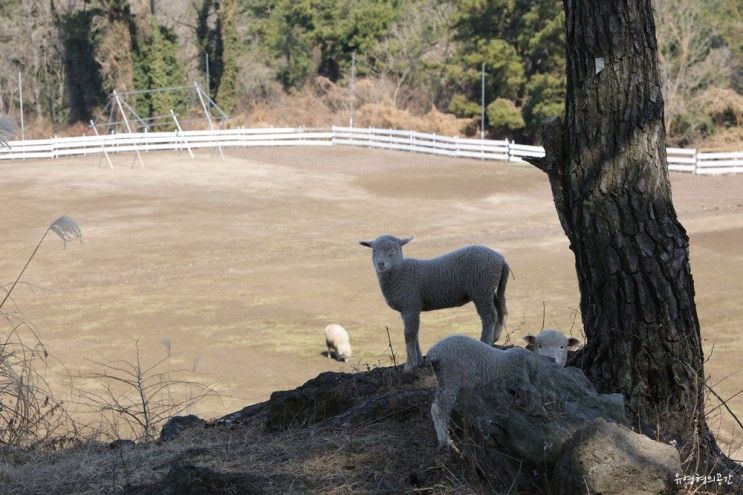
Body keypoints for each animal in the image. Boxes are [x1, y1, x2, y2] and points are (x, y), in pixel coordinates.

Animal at [360, 236, 512, 372]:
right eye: (374, 250)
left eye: (392, 250)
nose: (380, 264)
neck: (400, 271)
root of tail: (500, 258)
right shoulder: (410, 308)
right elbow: (415, 333)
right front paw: (418, 361)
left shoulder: (410, 304)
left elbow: (409, 334)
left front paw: (410, 365)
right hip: (489, 288)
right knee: (499, 307)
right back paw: (495, 337)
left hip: (481, 288)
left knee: (489, 316)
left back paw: (485, 342)